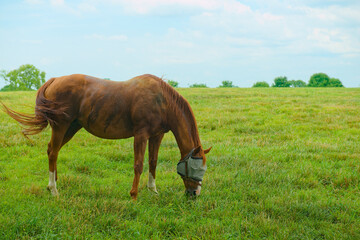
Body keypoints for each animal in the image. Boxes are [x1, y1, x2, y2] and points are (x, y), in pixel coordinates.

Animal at [1, 74, 211, 200]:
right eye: (195, 168)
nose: (195, 194)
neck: (161, 100)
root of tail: (55, 79)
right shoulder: (141, 134)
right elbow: (139, 164)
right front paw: (134, 195)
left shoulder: (156, 135)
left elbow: (153, 162)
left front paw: (153, 191)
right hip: (61, 126)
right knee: (53, 152)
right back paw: (54, 189)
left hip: (71, 127)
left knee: (53, 150)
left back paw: (53, 182)